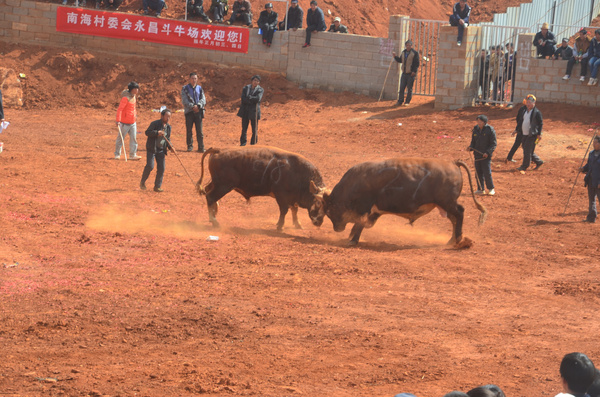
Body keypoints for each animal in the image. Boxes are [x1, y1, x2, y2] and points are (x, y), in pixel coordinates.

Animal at [197, 145, 328, 229]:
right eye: (317, 203)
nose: (319, 222)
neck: (298, 172)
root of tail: (219, 150)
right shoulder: (281, 196)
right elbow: (284, 210)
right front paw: (280, 226)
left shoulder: (292, 197)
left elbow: (294, 210)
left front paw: (298, 224)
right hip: (223, 185)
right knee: (210, 197)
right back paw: (215, 221)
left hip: (217, 184)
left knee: (208, 192)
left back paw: (214, 214)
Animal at [324, 157, 488, 244]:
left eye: (330, 211)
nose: (337, 228)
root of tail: (453, 163)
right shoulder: (373, 211)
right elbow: (362, 224)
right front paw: (351, 237)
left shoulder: (365, 208)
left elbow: (360, 223)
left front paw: (352, 239)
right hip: (445, 205)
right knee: (454, 219)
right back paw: (451, 240)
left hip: (448, 203)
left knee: (460, 213)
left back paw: (458, 239)